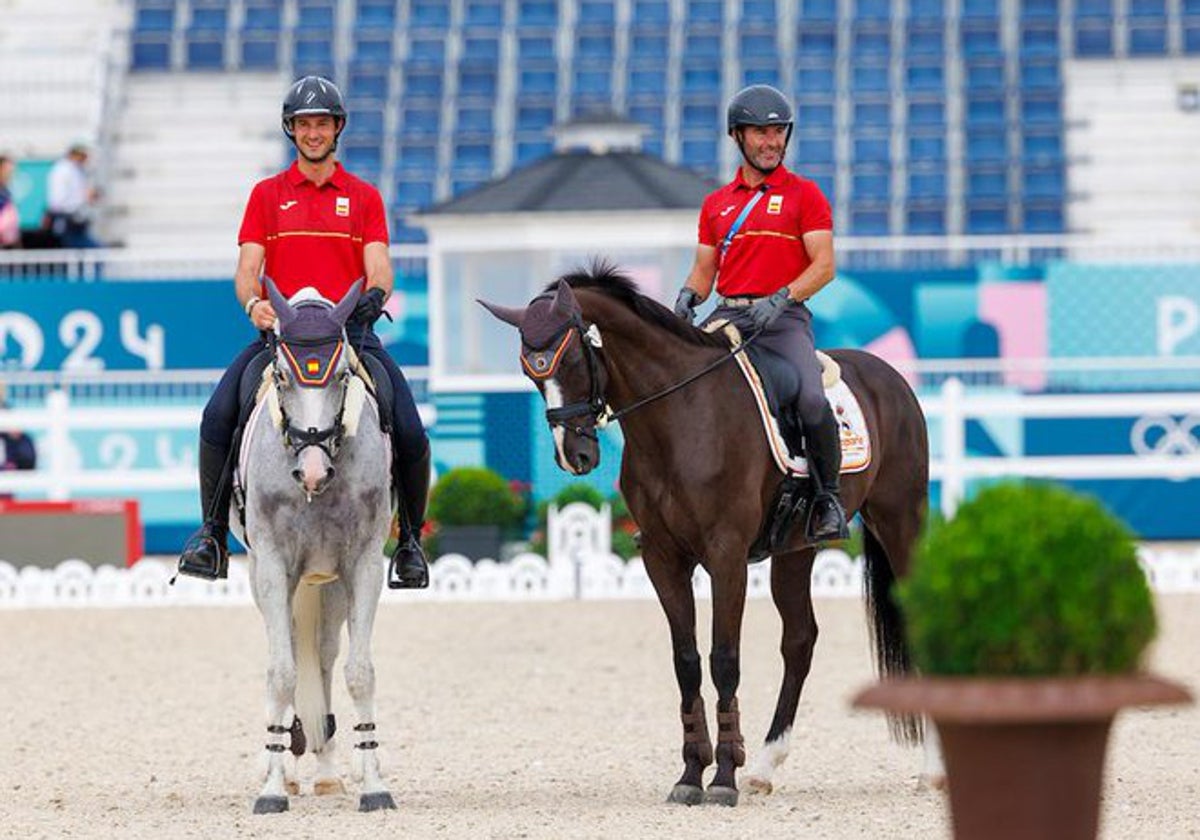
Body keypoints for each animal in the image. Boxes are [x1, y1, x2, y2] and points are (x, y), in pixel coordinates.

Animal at [232, 280, 398, 816]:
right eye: (283, 376)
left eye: (342, 374)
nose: (311, 472)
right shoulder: (271, 564)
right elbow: (282, 674)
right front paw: (270, 789)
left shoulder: (363, 564)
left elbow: (360, 671)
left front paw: (374, 785)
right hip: (270, 577)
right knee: (289, 649)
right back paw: (284, 771)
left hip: (330, 582)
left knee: (324, 656)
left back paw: (328, 770)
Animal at [482, 262, 931, 806]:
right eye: (531, 371)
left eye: (570, 360)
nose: (576, 456)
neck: (678, 415)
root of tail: (889, 376)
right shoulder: (662, 558)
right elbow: (687, 662)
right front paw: (691, 774)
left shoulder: (726, 554)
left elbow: (724, 659)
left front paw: (723, 778)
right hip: (796, 549)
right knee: (799, 640)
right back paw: (765, 766)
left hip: (900, 519)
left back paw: (931, 770)